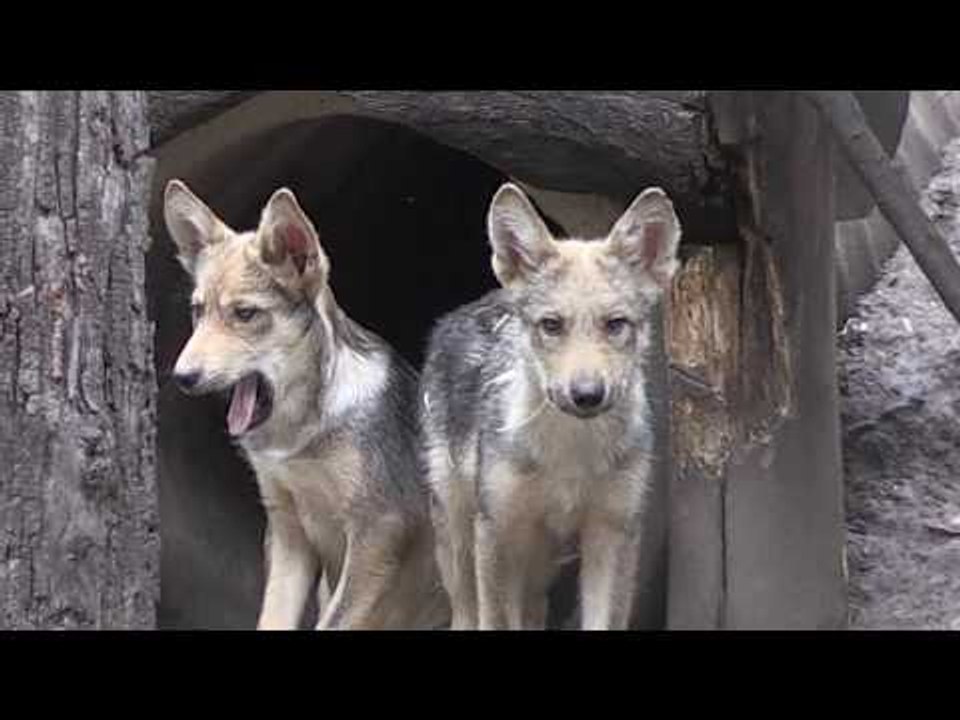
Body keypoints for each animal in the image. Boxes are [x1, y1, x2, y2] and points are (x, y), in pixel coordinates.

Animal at [164, 180, 449, 630]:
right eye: (198, 311)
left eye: (245, 313)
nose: (182, 377)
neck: (301, 435)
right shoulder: (288, 532)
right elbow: (272, 620)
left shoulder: (377, 532)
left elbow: (331, 622)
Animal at [421, 182, 680, 630]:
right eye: (552, 325)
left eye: (615, 325)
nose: (587, 393)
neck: (571, 455)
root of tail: (476, 303)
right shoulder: (497, 531)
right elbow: (495, 621)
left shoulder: (612, 534)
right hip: (461, 538)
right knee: (466, 612)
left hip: (539, 559)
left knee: (534, 608)